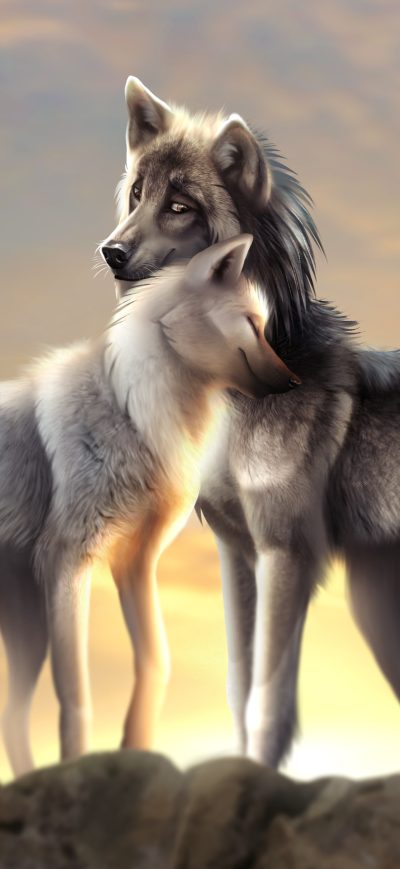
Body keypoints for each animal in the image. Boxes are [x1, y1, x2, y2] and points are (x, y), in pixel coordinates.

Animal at [0, 235, 297, 777]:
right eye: (251, 324)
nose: (294, 382)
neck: (133, 410)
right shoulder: (68, 561)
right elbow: (74, 693)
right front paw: (78, 771)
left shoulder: (135, 562)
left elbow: (157, 661)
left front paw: (134, 751)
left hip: (27, 630)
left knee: (11, 714)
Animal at [101, 77, 400, 768]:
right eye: (138, 194)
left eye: (180, 206)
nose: (110, 251)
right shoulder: (236, 552)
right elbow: (239, 690)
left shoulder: (285, 553)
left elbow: (268, 699)